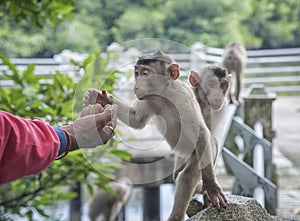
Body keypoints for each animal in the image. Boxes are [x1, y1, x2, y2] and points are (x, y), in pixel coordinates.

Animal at [83, 51, 226, 221]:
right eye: (137, 74)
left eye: (145, 74)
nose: (136, 85)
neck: (164, 95)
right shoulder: (149, 99)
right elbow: (135, 120)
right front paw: (102, 98)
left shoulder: (182, 97)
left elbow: (200, 132)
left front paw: (211, 186)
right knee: (179, 175)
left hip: (205, 151)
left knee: (187, 176)